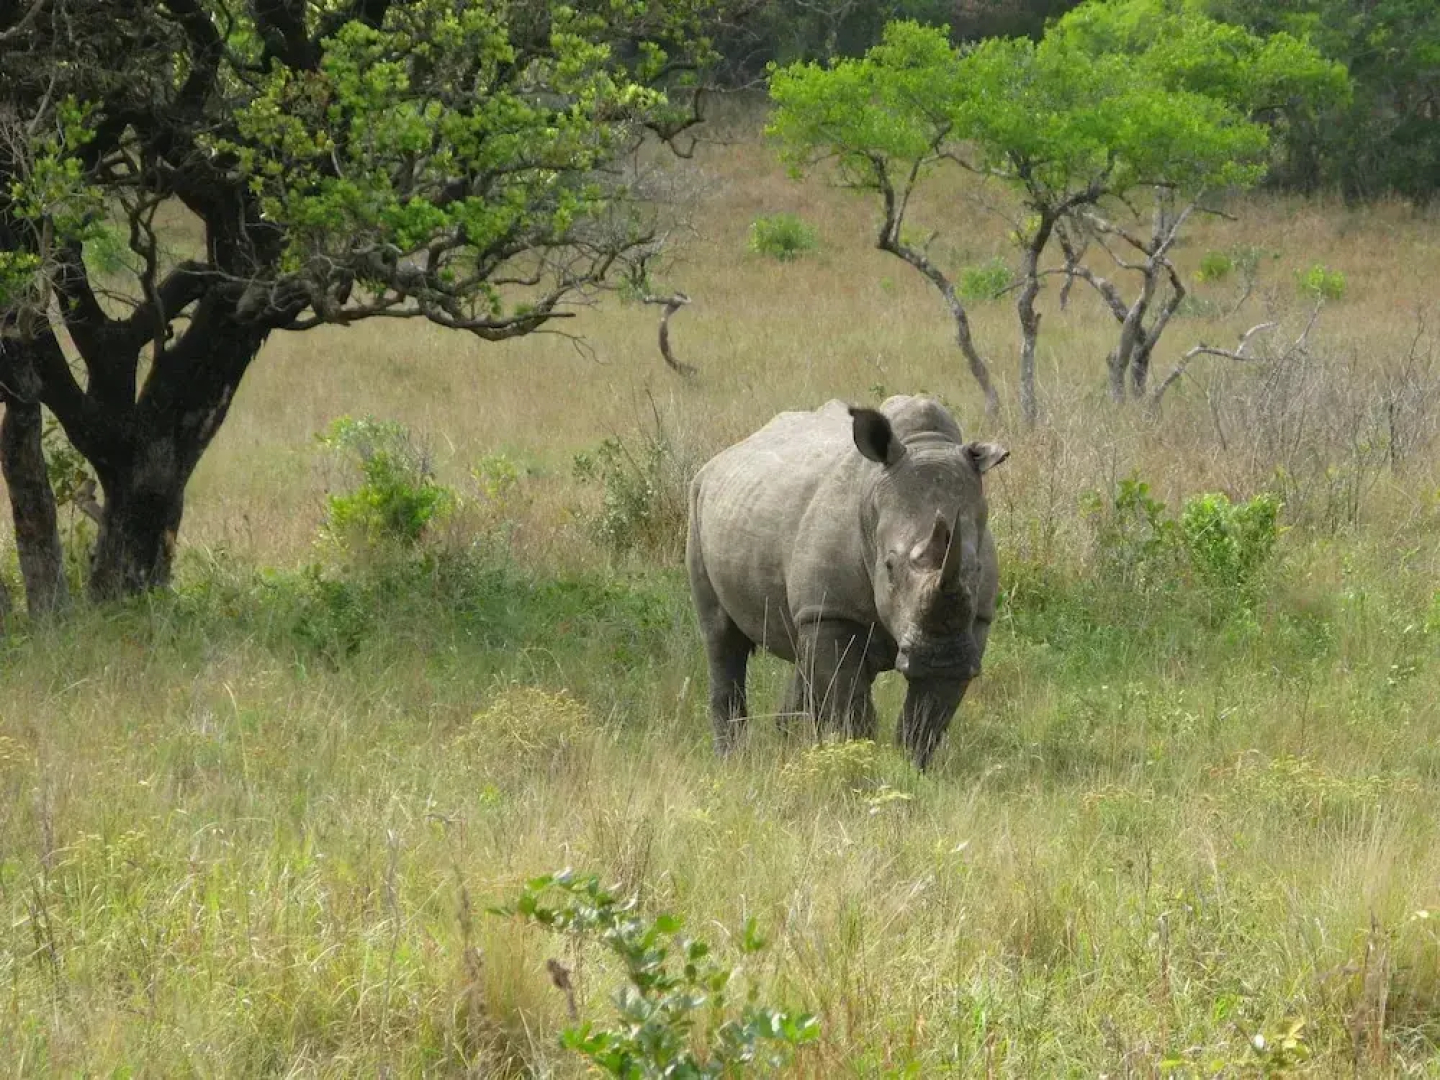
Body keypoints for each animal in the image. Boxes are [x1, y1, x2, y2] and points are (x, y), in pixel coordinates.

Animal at [685, 395, 1008, 770]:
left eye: (977, 569)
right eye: (889, 566)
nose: (941, 657)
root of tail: (725, 455)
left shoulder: (974, 622)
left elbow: (924, 721)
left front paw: (909, 771)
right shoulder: (834, 612)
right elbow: (849, 710)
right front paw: (855, 764)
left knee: (801, 651)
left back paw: (789, 745)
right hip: (698, 504)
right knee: (721, 638)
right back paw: (732, 762)